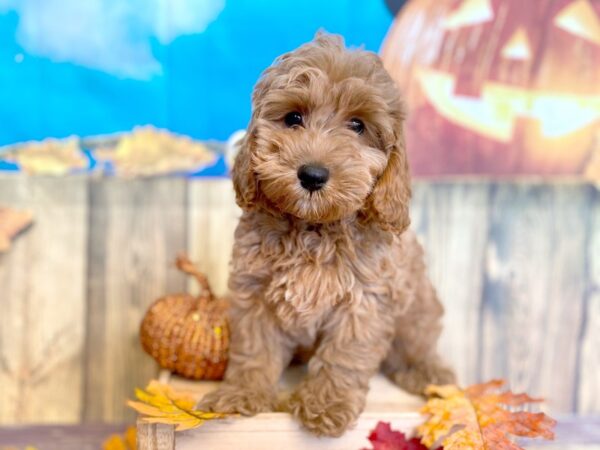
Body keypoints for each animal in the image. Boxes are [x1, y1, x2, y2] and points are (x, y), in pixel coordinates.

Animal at [199, 33, 452, 438]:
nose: (312, 175)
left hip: (418, 308)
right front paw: (241, 393)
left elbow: (344, 356)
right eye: (293, 118)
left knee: (417, 343)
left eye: (357, 125)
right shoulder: (254, 292)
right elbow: (254, 348)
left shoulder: (364, 302)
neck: (314, 226)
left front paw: (325, 405)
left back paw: (427, 371)